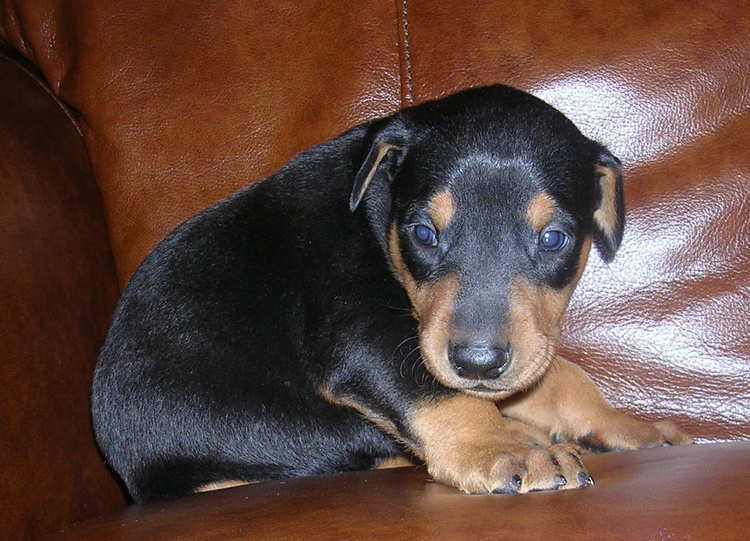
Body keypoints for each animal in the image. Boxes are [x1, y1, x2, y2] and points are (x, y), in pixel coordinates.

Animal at [94, 84, 692, 502]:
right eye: (424, 233)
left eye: (554, 238)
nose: (478, 363)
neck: (376, 210)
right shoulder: (362, 336)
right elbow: (438, 392)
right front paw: (503, 449)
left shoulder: (522, 346)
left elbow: (560, 375)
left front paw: (627, 425)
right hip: (279, 429)